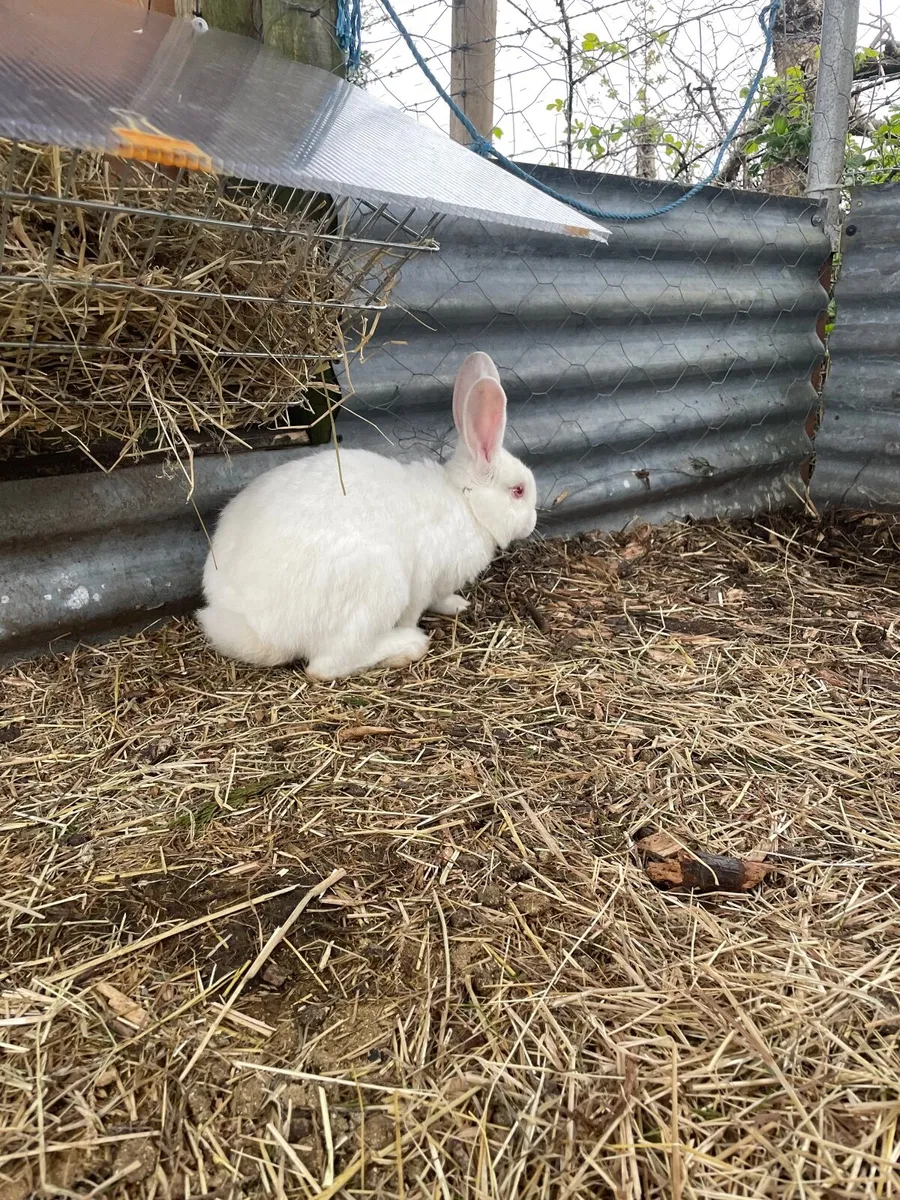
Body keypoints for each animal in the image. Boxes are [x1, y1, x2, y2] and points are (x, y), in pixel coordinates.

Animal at [196, 352, 537, 680]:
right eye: (518, 491)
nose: (533, 522)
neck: (466, 502)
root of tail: (259, 629)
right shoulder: (422, 580)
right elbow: (415, 609)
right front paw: (420, 624)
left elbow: (441, 598)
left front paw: (456, 605)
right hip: (380, 584)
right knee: (325, 666)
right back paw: (408, 645)